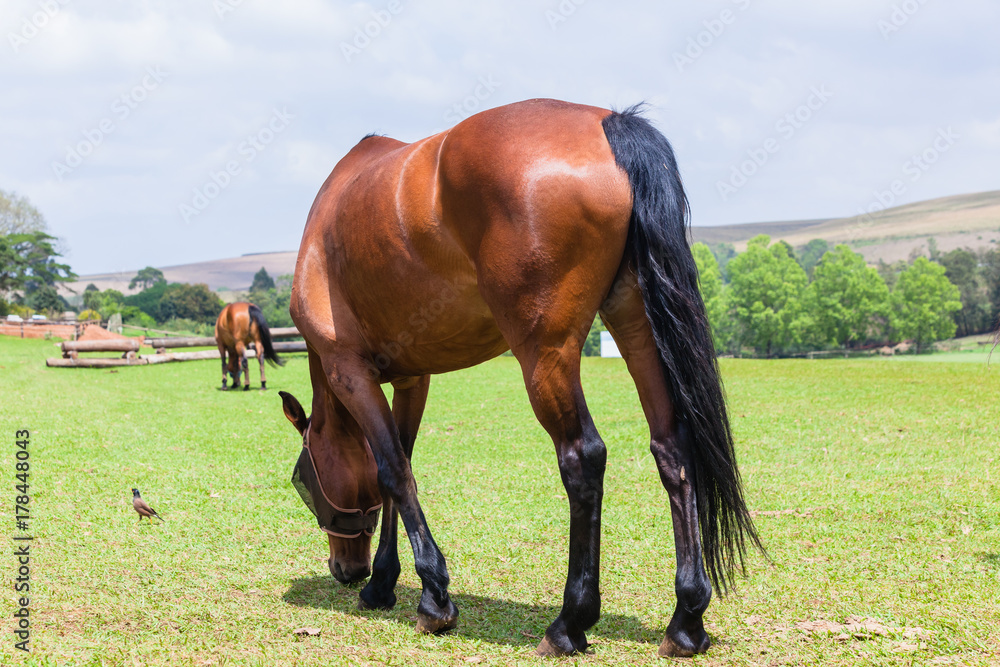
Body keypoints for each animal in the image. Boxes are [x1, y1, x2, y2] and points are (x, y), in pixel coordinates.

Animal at [278, 98, 761, 658]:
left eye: (302, 481)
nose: (345, 569)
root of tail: (609, 123)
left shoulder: (350, 371)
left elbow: (393, 471)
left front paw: (433, 597)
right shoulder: (412, 379)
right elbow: (398, 465)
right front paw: (383, 582)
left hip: (544, 357)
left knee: (582, 458)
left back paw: (570, 621)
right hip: (637, 328)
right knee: (671, 450)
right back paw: (686, 619)